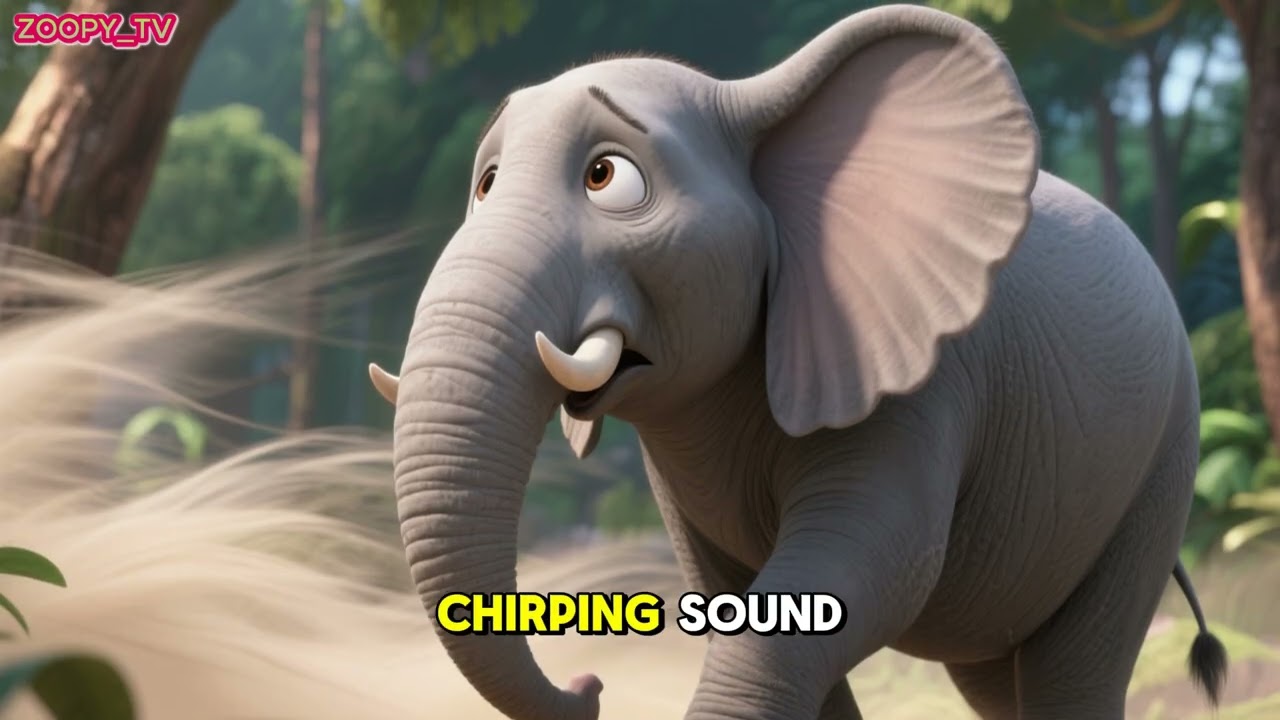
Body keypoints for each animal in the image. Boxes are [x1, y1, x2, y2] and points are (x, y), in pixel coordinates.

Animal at [367, 4, 1229, 719]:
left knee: (1073, 668)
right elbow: (731, 595)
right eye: (485, 184)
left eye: (607, 176)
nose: (589, 686)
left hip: (1160, 464)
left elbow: (871, 565)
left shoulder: (920, 383)